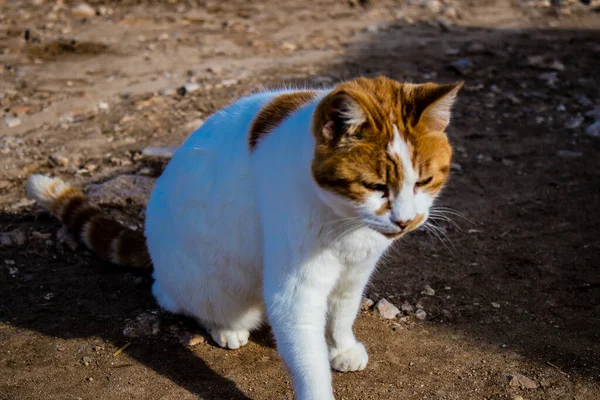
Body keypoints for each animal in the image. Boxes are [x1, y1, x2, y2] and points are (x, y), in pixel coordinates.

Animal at [25, 76, 462, 400]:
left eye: (423, 181)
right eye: (375, 186)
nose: (406, 221)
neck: (347, 225)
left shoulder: (355, 271)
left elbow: (342, 313)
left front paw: (340, 347)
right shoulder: (294, 291)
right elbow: (308, 362)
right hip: (208, 282)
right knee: (169, 295)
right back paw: (222, 326)